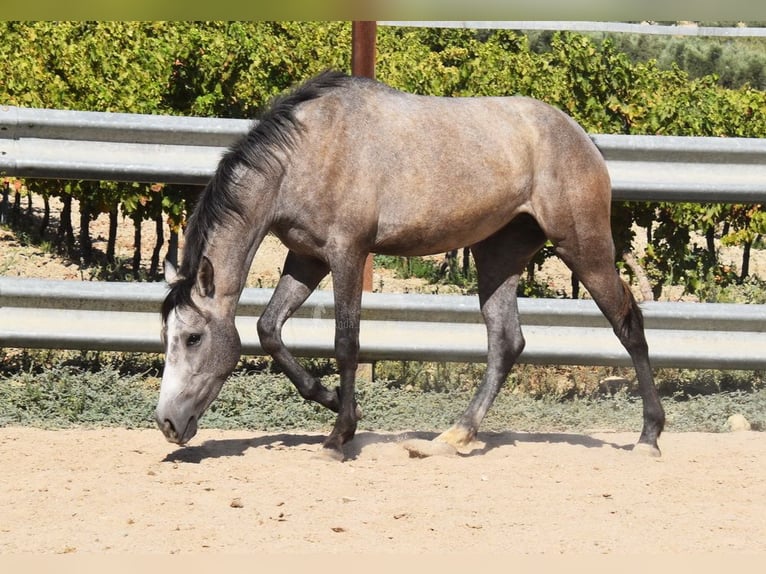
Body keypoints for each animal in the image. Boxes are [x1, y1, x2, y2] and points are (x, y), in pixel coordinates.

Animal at [156, 70, 664, 462]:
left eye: (193, 337)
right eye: (166, 337)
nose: (166, 423)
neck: (305, 154)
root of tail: (581, 137)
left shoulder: (347, 253)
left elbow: (346, 343)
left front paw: (339, 436)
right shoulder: (306, 257)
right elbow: (268, 329)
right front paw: (333, 400)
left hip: (584, 247)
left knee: (628, 322)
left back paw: (649, 437)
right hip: (497, 257)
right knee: (507, 342)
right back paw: (452, 437)